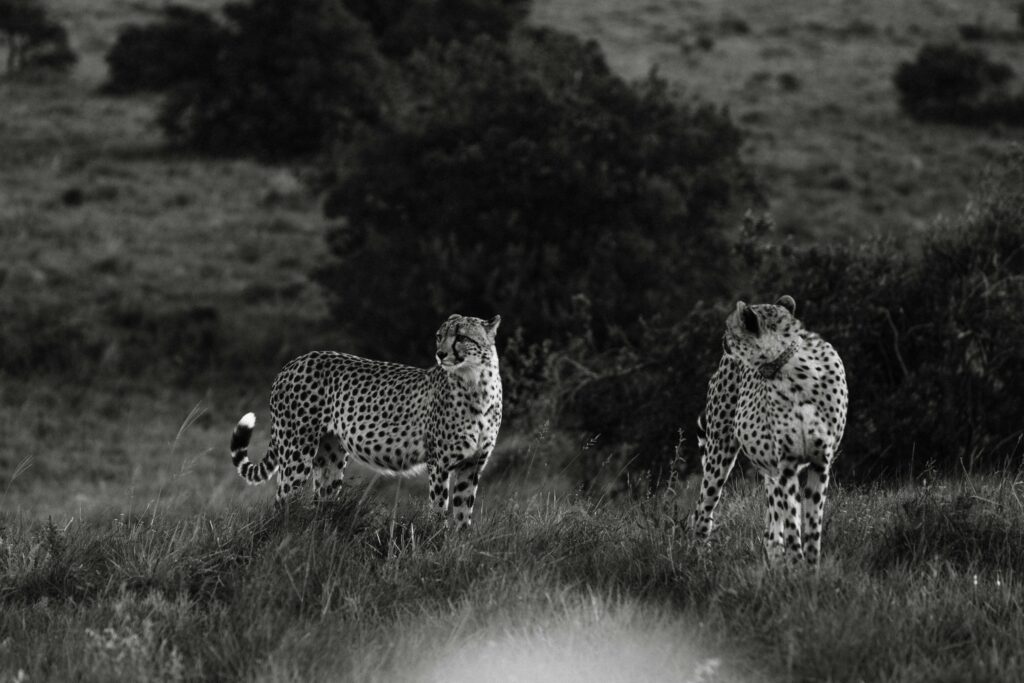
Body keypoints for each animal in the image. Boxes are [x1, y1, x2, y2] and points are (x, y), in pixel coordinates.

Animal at [231, 313, 503, 532]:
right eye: (439, 336)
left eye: (461, 337)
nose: (441, 354)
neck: (477, 384)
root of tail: (293, 362)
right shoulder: (439, 464)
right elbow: (438, 510)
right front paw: (438, 541)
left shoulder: (472, 465)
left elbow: (463, 512)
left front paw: (459, 545)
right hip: (297, 453)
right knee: (283, 502)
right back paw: (283, 537)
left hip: (331, 457)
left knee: (320, 502)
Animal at [696, 294, 847, 565]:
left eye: (730, 327)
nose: (722, 340)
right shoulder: (786, 464)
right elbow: (793, 525)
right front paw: (797, 565)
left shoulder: (819, 462)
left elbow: (812, 525)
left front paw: (811, 568)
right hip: (720, 452)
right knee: (702, 509)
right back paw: (698, 558)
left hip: (768, 469)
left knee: (771, 526)